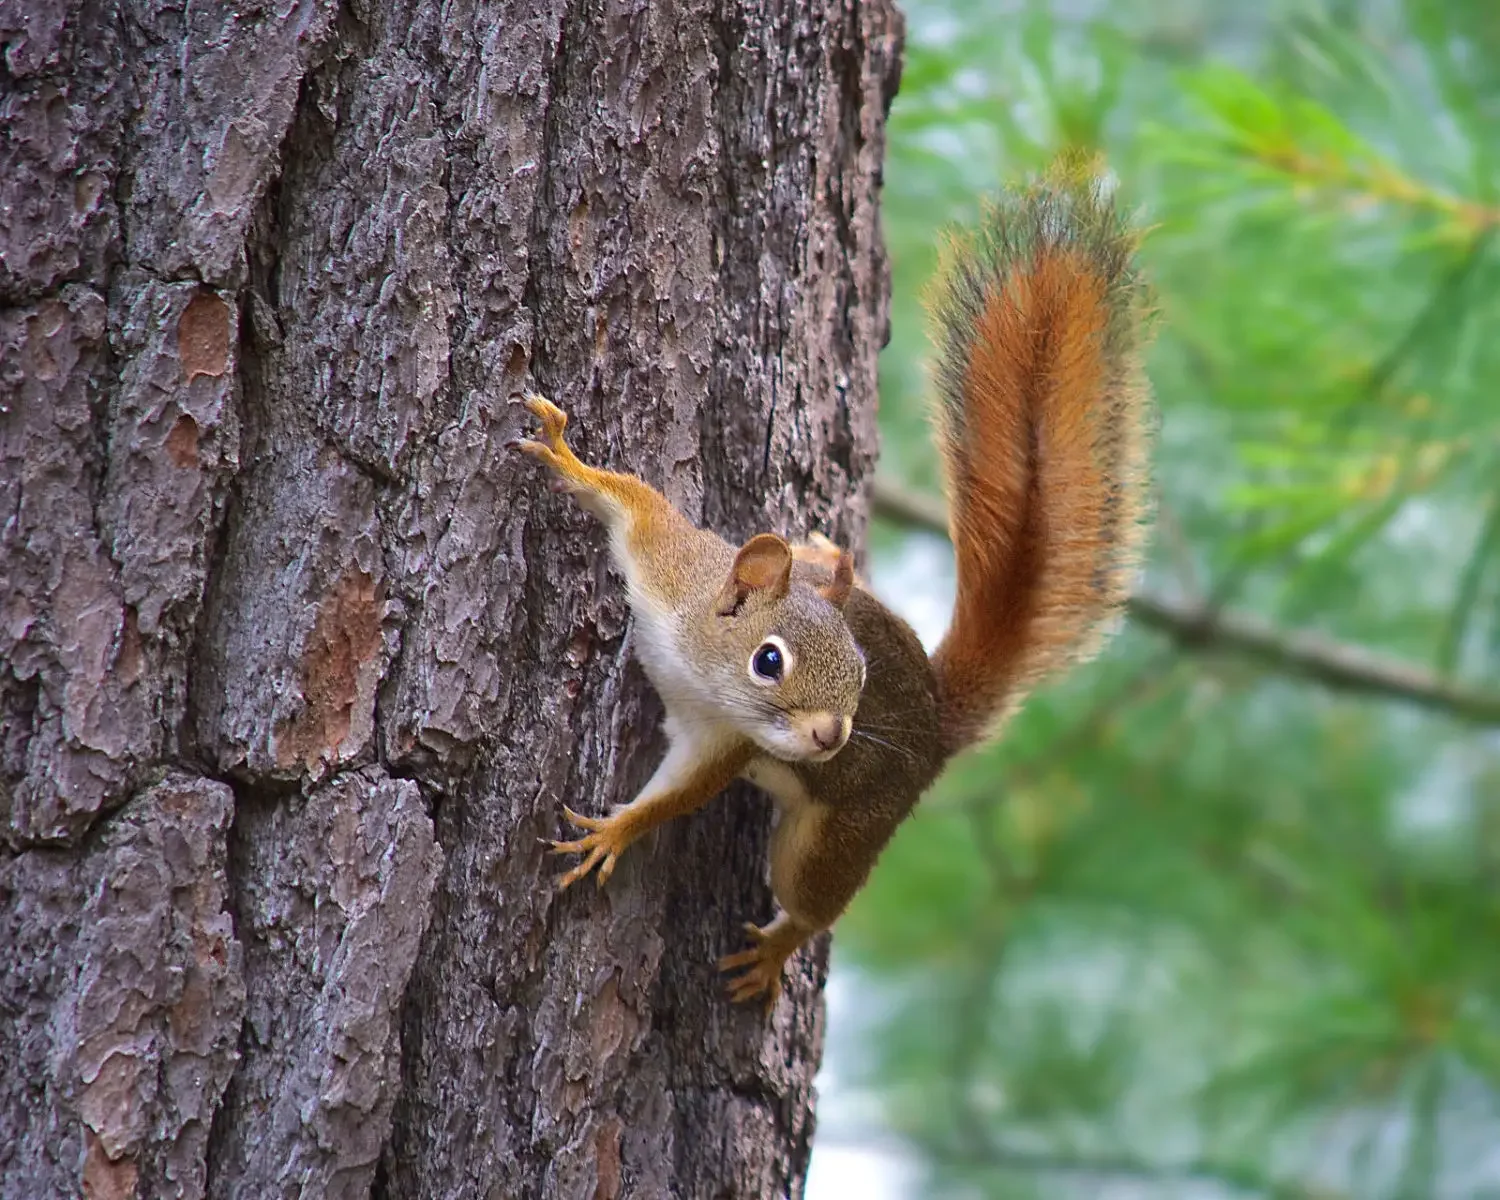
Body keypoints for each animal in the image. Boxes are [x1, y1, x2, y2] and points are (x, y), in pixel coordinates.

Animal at [510, 160, 1151, 1009]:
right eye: (769, 661)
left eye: (860, 676)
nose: (832, 737)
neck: (697, 663)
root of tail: (937, 728)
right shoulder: (666, 562)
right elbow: (632, 500)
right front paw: (565, 456)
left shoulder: (721, 741)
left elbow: (678, 794)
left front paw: (615, 832)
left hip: (845, 831)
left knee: (813, 898)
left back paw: (778, 948)